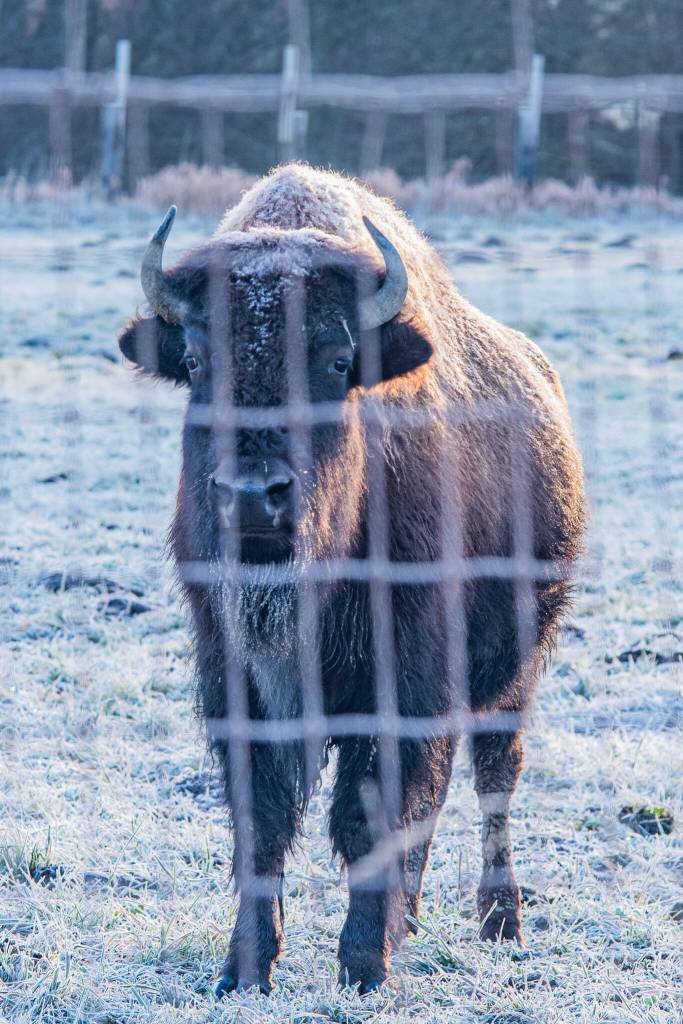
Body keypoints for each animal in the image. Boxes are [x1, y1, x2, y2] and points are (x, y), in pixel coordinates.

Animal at [119, 164, 585, 995]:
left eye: (337, 363)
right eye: (197, 363)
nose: (253, 496)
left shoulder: (402, 676)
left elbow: (370, 812)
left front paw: (364, 965)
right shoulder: (233, 675)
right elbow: (263, 817)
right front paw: (245, 968)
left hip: (516, 666)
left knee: (493, 777)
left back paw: (499, 924)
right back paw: (416, 917)